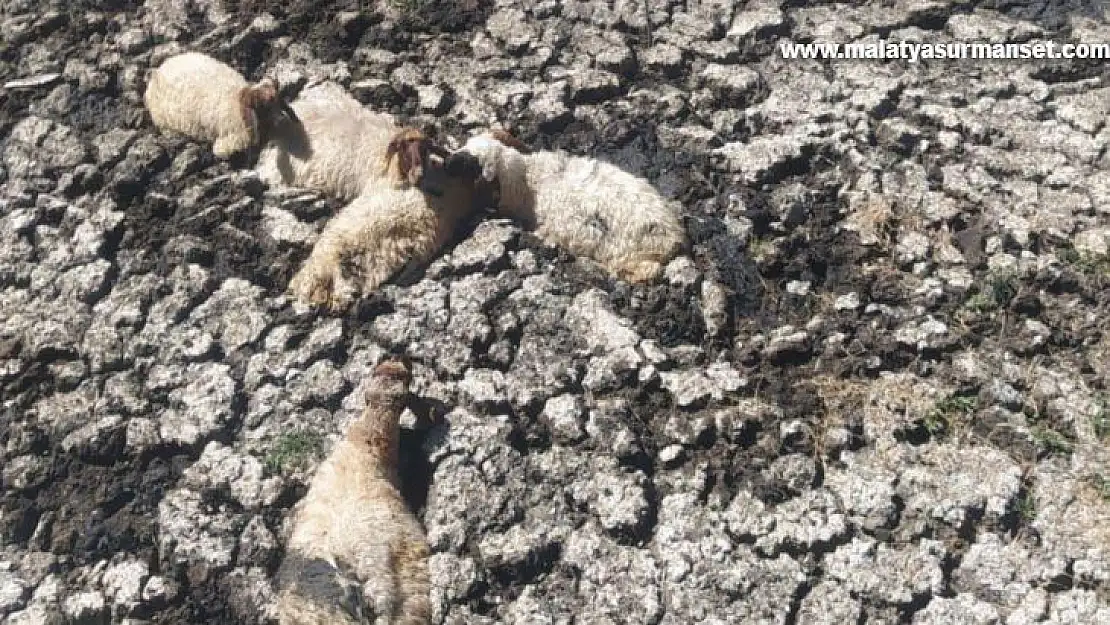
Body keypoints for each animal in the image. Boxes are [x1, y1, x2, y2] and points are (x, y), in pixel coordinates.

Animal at [144, 52, 299, 158]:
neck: (235, 99)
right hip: (162, 120)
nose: (284, 122)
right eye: (263, 105)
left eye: (278, 100)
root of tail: (157, 71)